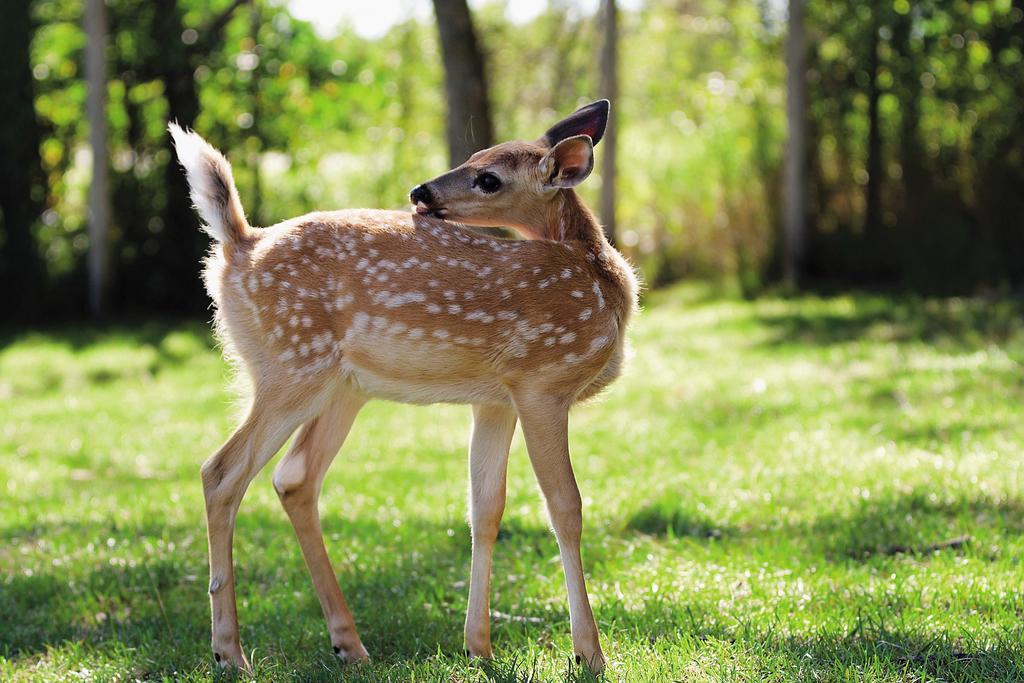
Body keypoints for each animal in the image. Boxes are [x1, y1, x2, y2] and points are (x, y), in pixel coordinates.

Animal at [171, 98, 634, 675]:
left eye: (487, 175)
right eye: (474, 158)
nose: (421, 192)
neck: (601, 281)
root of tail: (237, 245)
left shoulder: (496, 399)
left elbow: (486, 508)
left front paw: (478, 646)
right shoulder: (542, 381)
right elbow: (565, 506)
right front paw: (590, 653)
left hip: (340, 386)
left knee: (294, 477)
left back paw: (349, 644)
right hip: (293, 363)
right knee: (221, 471)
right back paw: (230, 653)